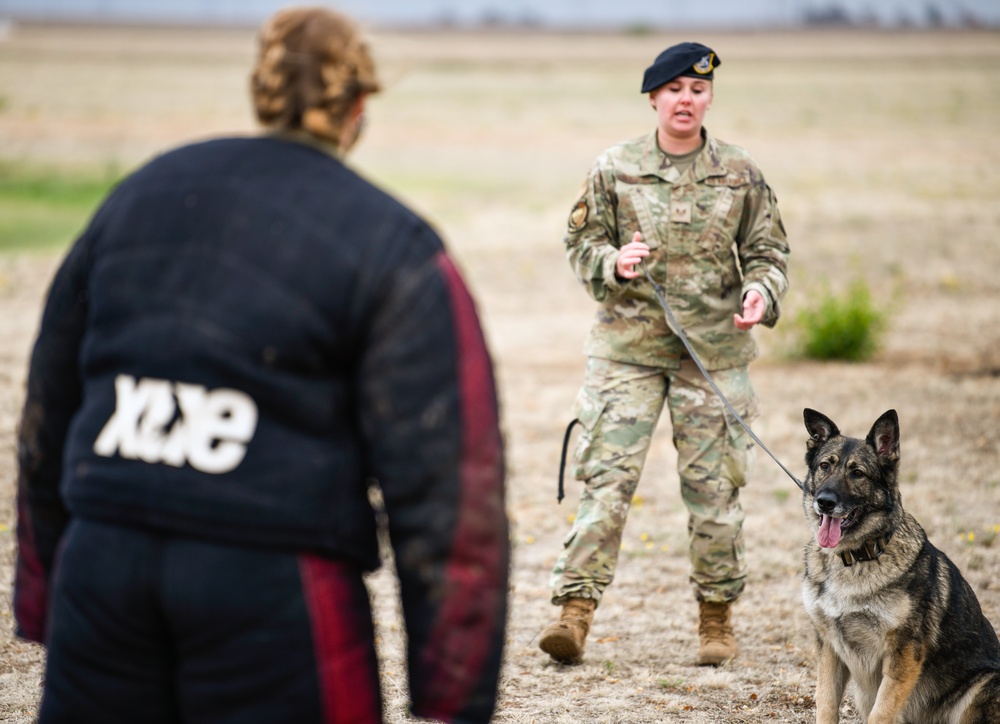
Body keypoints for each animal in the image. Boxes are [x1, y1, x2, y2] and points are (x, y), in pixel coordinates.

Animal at [800, 410, 1000, 720]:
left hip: (984, 685)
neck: (856, 558)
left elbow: (881, 714)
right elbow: (825, 705)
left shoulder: (903, 655)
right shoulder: (829, 649)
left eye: (858, 473)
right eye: (824, 466)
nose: (825, 502)